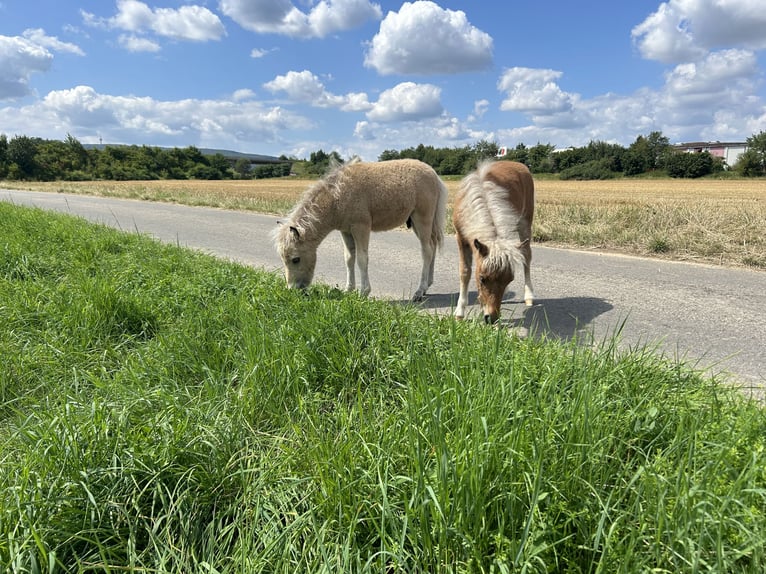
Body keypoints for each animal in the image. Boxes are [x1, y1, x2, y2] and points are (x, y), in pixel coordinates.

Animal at [274, 158, 450, 302]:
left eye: (295, 259)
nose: (293, 290)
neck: (337, 197)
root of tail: (434, 175)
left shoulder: (361, 227)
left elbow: (362, 259)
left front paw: (364, 292)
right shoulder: (345, 230)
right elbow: (349, 258)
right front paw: (348, 289)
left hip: (422, 219)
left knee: (427, 251)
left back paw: (419, 291)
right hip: (415, 222)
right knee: (433, 246)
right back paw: (427, 286)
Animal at [452, 161, 536, 324]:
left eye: (510, 280)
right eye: (482, 278)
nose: (492, 318)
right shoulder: (460, 237)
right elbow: (465, 272)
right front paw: (460, 312)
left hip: (525, 223)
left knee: (527, 256)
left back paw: (529, 296)